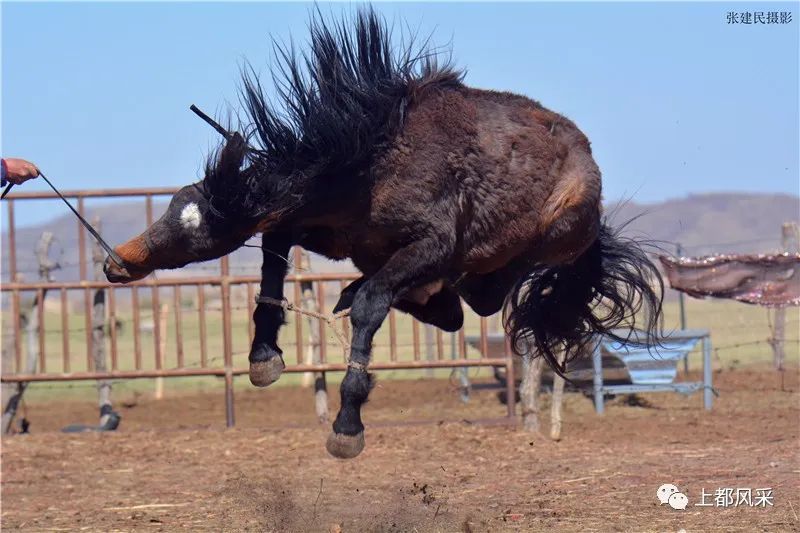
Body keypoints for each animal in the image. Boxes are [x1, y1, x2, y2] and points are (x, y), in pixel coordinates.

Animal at [103, 8, 664, 458]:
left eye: (196, 232)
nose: (117, 261)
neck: (369, 161)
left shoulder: (428, 244)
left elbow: (374, 304)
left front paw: (346, 426)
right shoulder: (326, 232)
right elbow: (275, 253)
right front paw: (264, 356)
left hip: (547, 237)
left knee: (476, 295)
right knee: (452, 307)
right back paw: (368, 294)